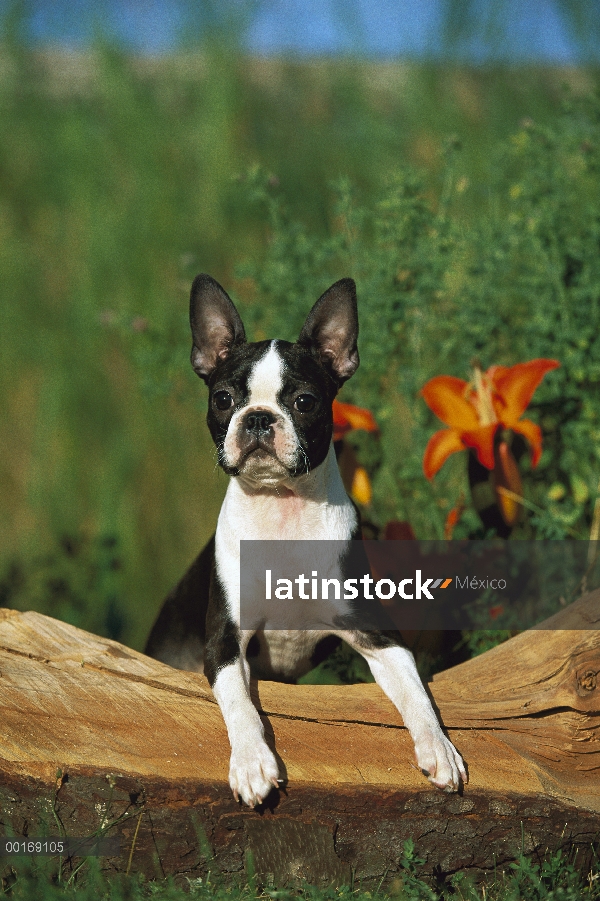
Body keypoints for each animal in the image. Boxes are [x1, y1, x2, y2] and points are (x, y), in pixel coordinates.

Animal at [146, 274, 468, 808]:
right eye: (223, 399)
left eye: (304, 402)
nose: (258, 417)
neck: (283, 512)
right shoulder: (223, 641)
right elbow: (239, 704)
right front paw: (252, 763)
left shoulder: (378, 634)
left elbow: (416, 691)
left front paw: (439, 747)